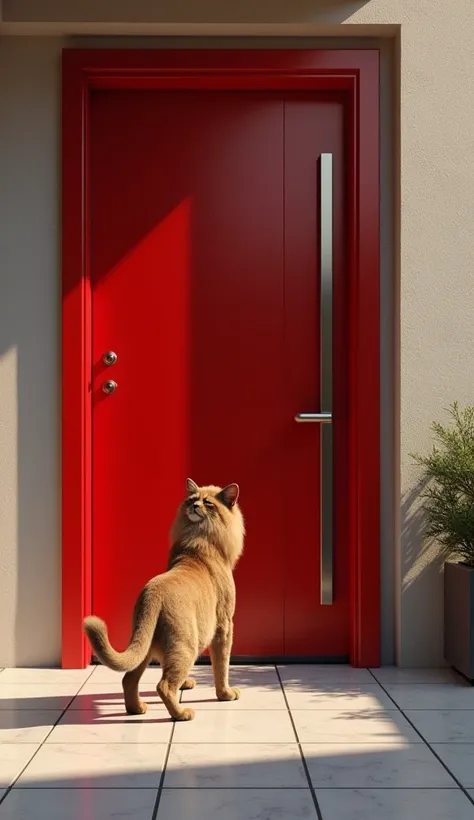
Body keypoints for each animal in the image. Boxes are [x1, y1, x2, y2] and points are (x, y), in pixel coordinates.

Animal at [83, 478, 244, 720]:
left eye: (207, 502)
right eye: (192, 499)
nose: (194, 506)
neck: (198, 536)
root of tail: (152, 594)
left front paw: (185, 685)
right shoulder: (224, 626)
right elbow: (221, 665)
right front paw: (226, 694)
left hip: (145, 645)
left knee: (129, 678)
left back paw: (137, 709)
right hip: (187, 643)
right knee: (164, 685)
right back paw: (182, 714)